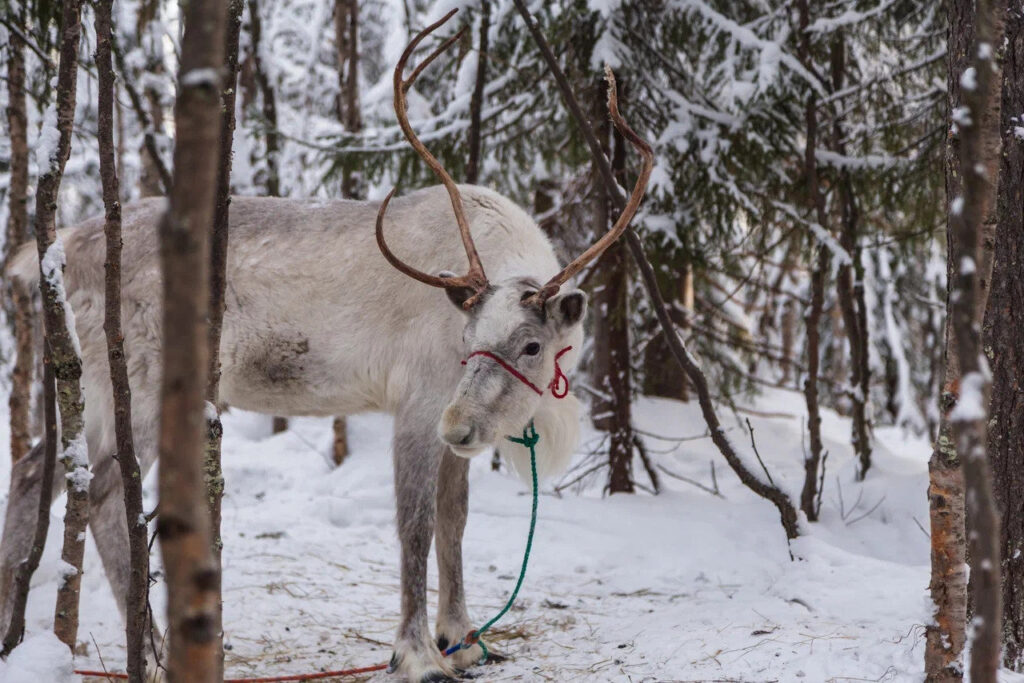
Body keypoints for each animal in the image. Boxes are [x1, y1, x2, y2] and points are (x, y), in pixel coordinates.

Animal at [0, 10, 652, 682]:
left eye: (530, 345)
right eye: (470, 337)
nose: (460, 425)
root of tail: (59, 249)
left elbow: (455, 521)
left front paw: (463, 639)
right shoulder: (420, 405)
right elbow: (417, 526)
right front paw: (417, 654)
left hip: (83, 381)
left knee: (33, 473)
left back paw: (14, 633)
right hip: (137, 387)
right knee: (105, 498)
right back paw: (153, 656)